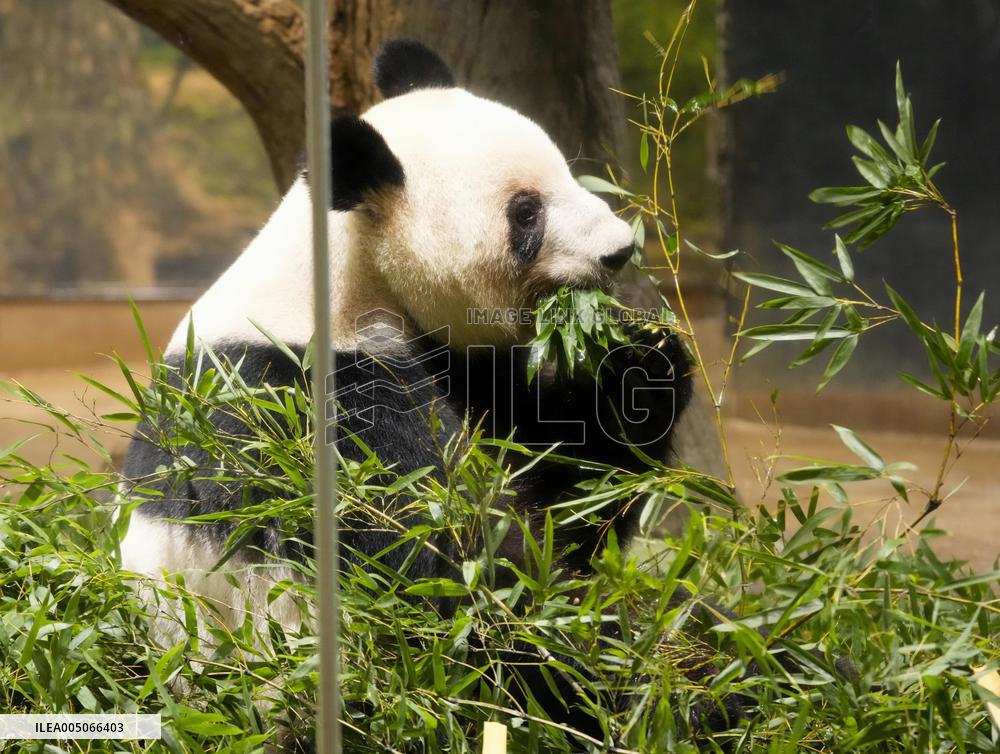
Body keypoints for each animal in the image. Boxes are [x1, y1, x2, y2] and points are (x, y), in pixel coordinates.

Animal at [120, 39, 700, 736]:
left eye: (566, 171)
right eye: (526, 213)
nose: (618, 251)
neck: (344, 275)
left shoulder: (465, 370)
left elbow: (568, 481)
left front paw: (639, 358)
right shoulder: (314, 405)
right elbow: (450, 563)